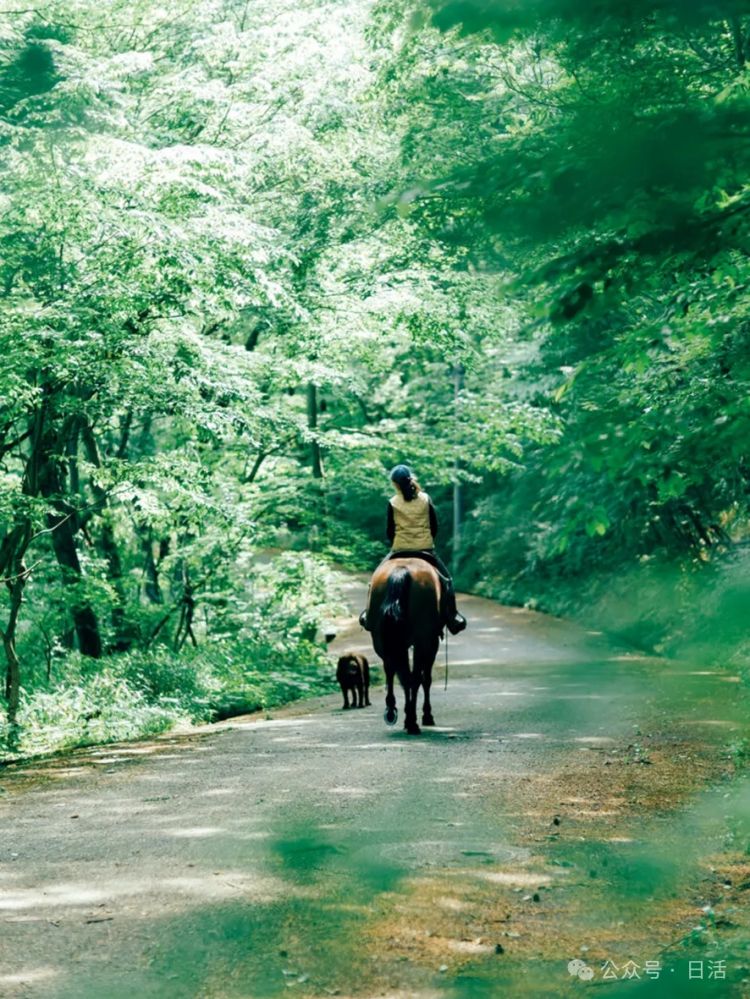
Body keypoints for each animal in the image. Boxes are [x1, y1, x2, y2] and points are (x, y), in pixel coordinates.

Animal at [372, 560, 446, 740]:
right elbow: (426, 679)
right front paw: (427, 715)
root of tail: (401, 571)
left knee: (396, 673)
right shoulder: (431, 642)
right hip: (422, 640)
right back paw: (413, 722)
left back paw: (395, 713)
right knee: (414, 678)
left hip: (382, 641)